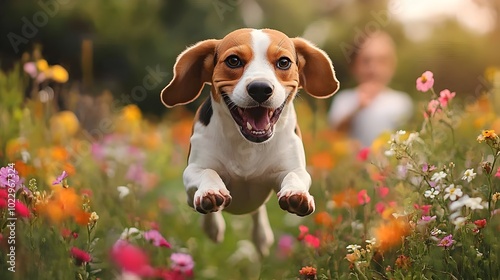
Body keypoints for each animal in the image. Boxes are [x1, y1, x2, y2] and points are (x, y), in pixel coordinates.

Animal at [162, 27, 338, 256]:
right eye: (233, 60)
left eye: (284, 62)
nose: (260, 88)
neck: (248, 144)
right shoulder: (193, 170)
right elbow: (207, 173)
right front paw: (211, 191)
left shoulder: (293, 168)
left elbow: (295, 176)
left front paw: (296, 194)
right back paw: (213, 226)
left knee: (257, 212)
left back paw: (261, 237)